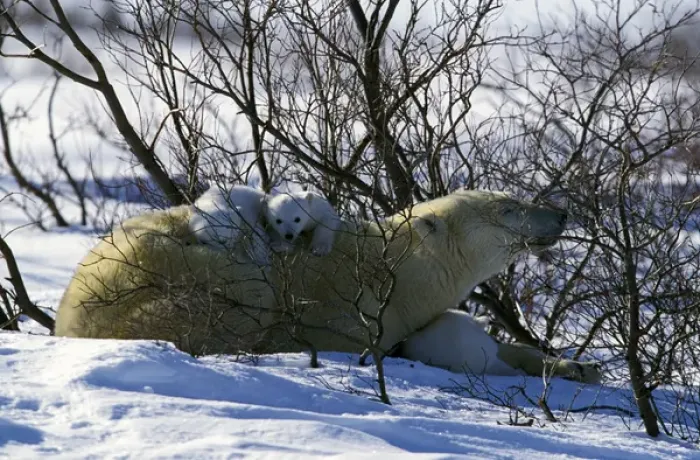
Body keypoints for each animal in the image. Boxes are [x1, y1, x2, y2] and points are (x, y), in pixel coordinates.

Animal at [54, 189, 599, 382]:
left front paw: (579, 366)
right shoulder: (351, 311)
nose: (560, 214)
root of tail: (67, 311)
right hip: (161, 277)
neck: (392, 270)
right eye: (507, 207)